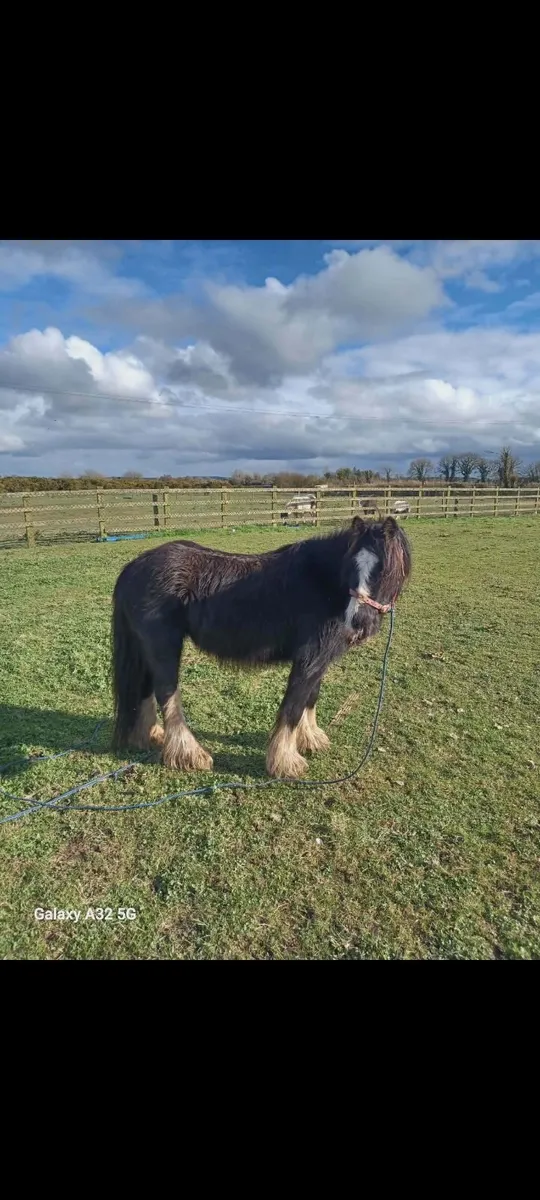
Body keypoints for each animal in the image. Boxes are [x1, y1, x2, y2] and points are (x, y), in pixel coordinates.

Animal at [111, 516, 412, 779]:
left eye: (384, 569)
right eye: (351, 565)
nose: (359, 621)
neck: (323, 583)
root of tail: (134, 566)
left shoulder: (321, 659)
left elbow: (310, 698)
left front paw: (311, 740)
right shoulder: (309, 658)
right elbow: (293, 707)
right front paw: (285, 762)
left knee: (146, 689)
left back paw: (152, 735)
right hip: (165, 646)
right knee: (166, 693)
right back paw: (189, 754)